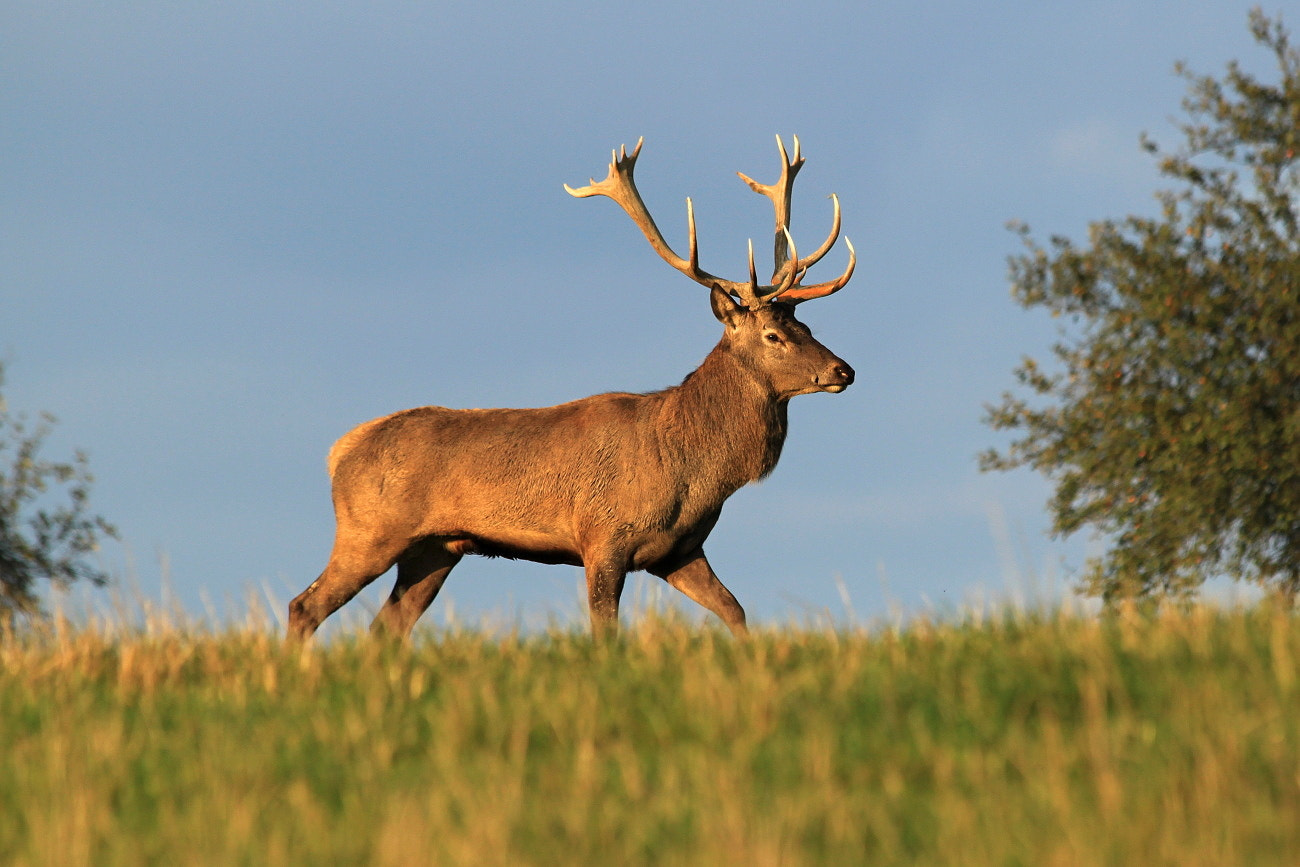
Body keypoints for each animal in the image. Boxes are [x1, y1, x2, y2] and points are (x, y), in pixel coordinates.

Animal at [287, 135, 856, 641]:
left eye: (807, 326)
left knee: (385, 627)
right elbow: (604, 630)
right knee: (304, 605)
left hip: (434, 550)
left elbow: (736, 611)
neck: (690, 469)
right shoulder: (602, 537)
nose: (844, 371)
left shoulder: (679, 551)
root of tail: (340, 451)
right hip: (369, 531)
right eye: (773, 335)